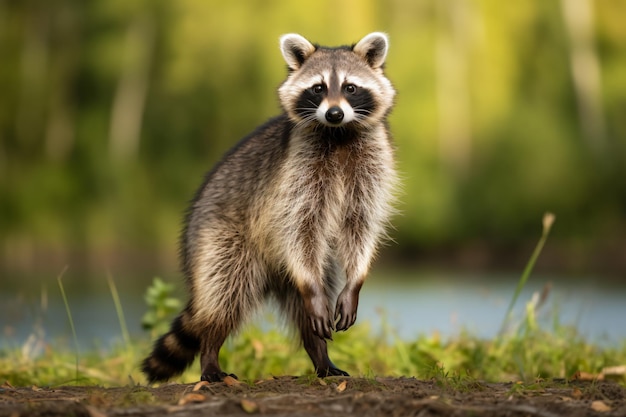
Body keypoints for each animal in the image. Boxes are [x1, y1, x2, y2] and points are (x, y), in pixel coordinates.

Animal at [141, 31, 394, 384]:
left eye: (350, 88)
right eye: (318, 88)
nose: (333, 114)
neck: (338, 134)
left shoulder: (371, 166)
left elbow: (361, 224)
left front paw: (355, 281)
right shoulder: (295, 177)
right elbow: (299, 225)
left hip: (304, 268)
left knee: (308, 305)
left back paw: (320, 356)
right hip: (223, 240)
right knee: (224, 296)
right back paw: (210, 352)